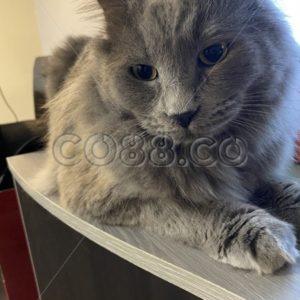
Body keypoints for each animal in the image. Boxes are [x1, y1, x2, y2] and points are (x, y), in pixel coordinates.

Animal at [41, 0, 300, 274]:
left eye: (214, 53)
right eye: (143, 72)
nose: (182, 114)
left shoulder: (254, 170)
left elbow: (280, 188)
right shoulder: (101, 194)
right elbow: (193, 207)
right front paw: (260, 234)